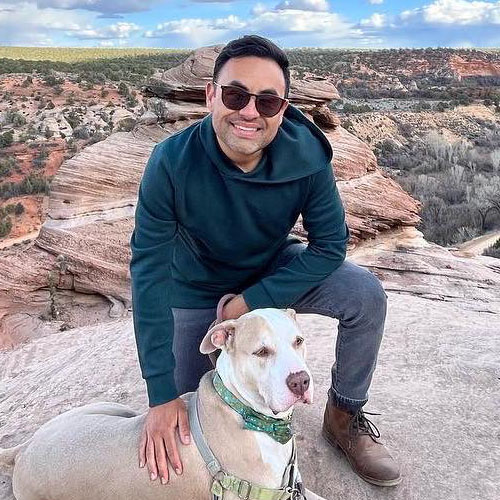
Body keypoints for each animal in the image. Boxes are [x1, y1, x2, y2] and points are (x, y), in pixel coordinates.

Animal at [0, 308, 326, 500]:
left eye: (299, 341)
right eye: (261, 352)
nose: (301, 381)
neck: (244, 410)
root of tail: (23, 449)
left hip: (105, 408)